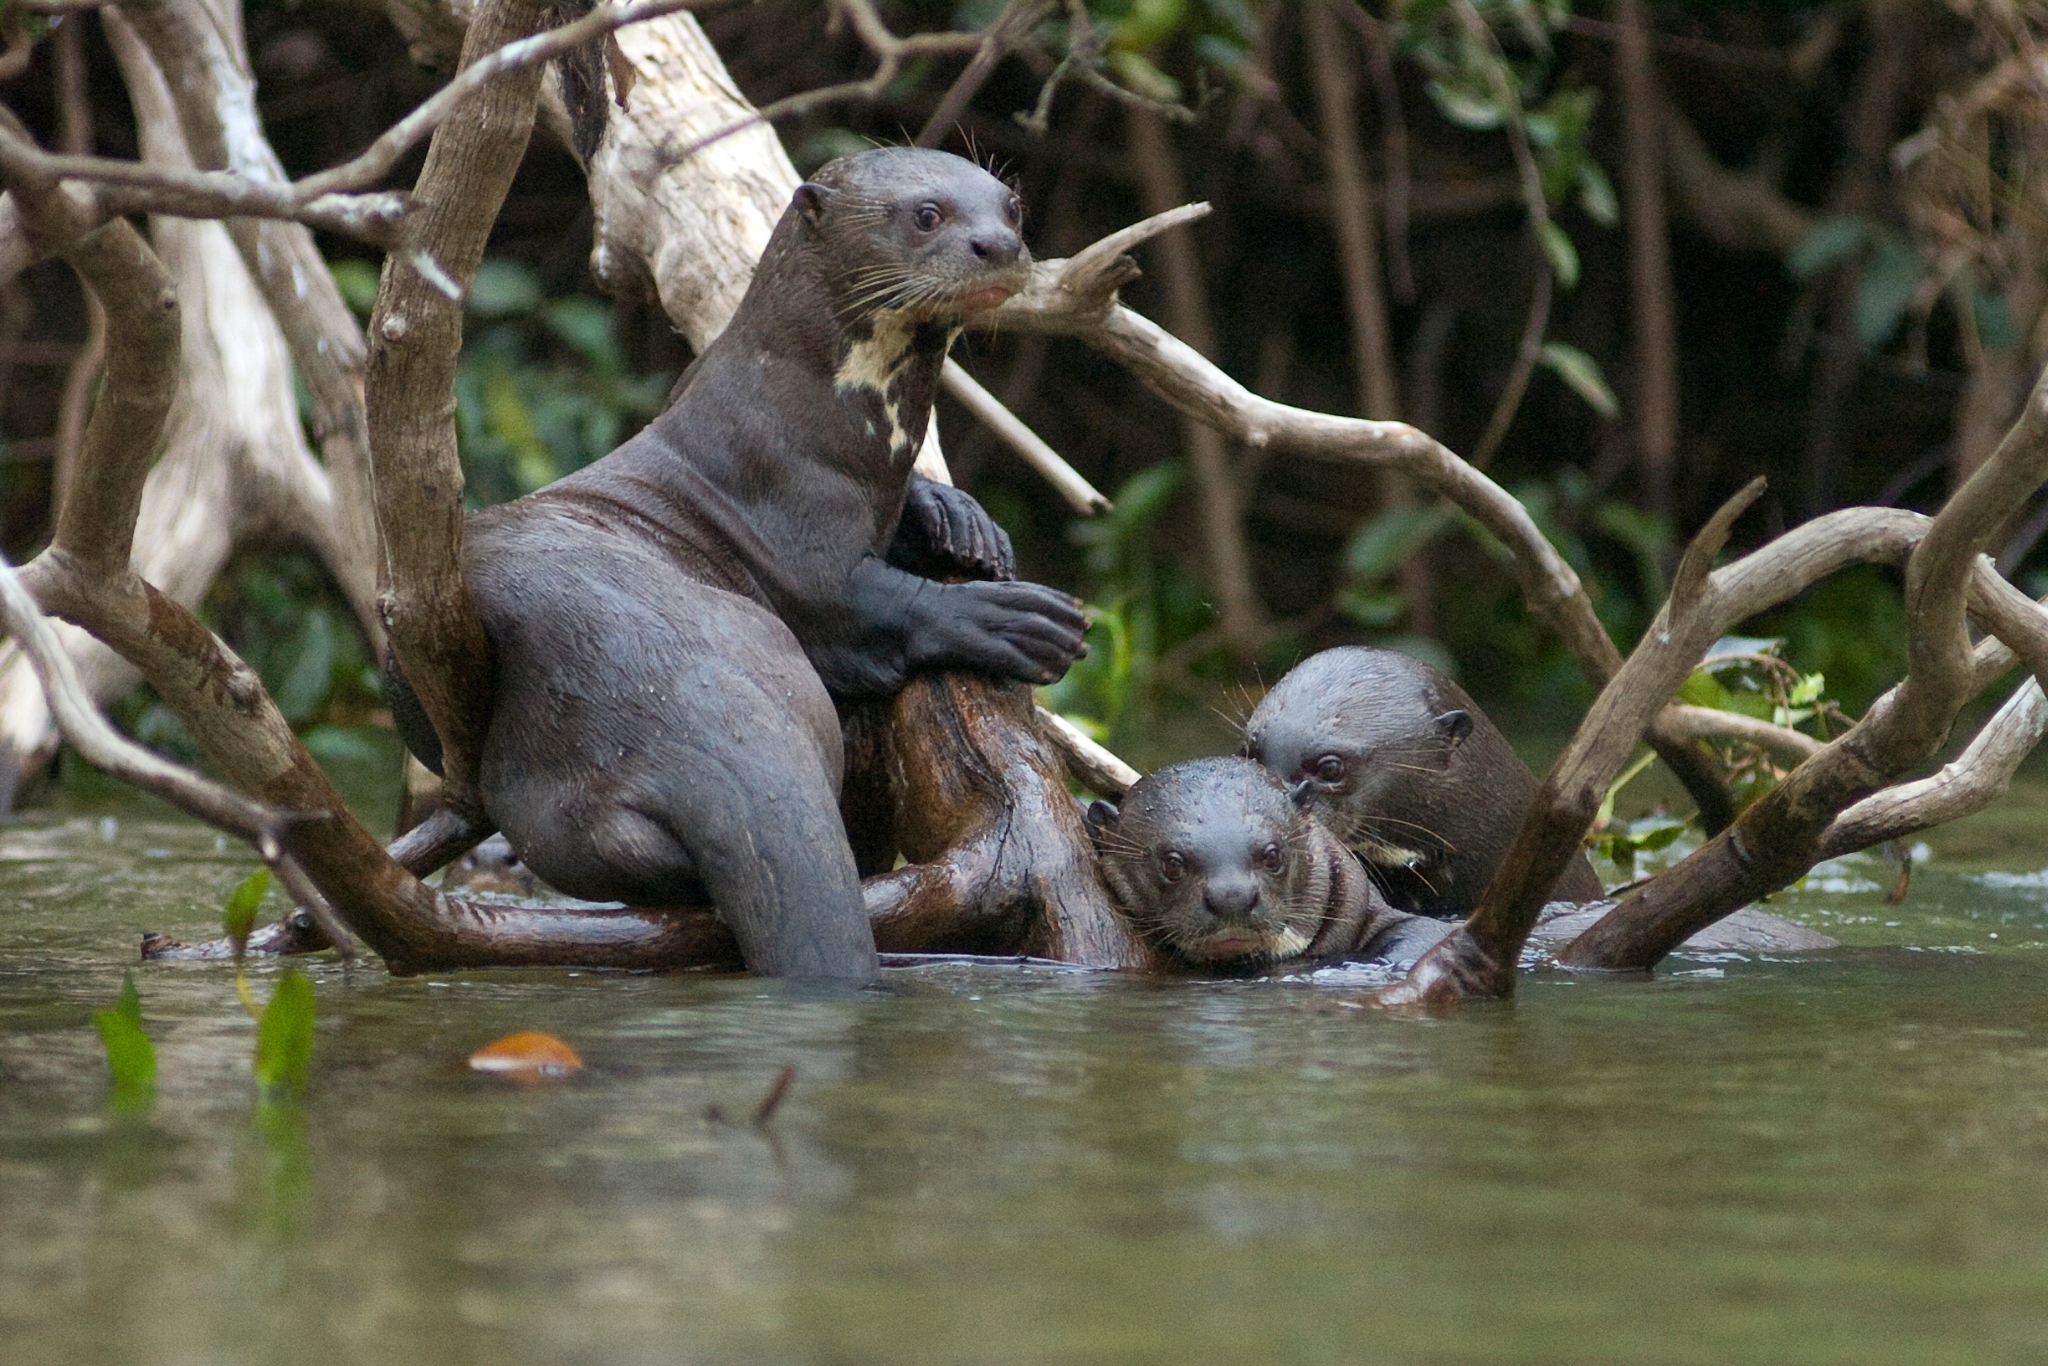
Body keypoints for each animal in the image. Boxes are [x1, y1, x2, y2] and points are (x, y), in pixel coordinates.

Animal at [397, 149, 1088, 983]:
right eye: (927, 214)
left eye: (1011, 206)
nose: (998, 245)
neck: (808, 412)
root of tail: (685, 721)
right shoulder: (790, 524)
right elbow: (864, 603)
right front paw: (1015, 616)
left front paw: (961, 520)